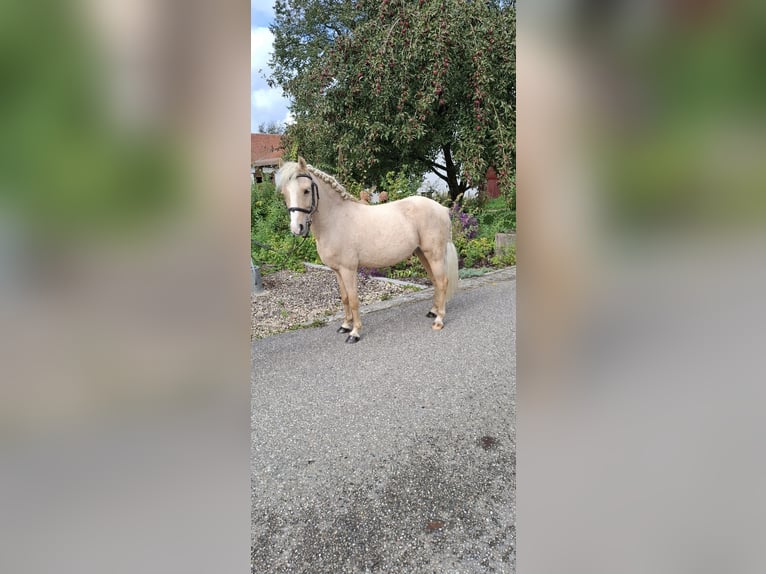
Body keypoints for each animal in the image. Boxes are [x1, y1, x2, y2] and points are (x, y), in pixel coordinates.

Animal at [276, 158, 460, 344]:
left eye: (306, 190)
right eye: (284, 193)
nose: (297, 228)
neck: (336, 220)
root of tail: (443, 209)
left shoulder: (348, 269)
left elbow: (353, 299)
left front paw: (354, 332)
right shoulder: (337, 270)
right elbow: (344, 298)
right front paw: (345, 325)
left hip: (434, 254)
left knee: (442, 281)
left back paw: (439, 320)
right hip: (422, 253)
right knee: (435, 280)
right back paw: (433, 311)